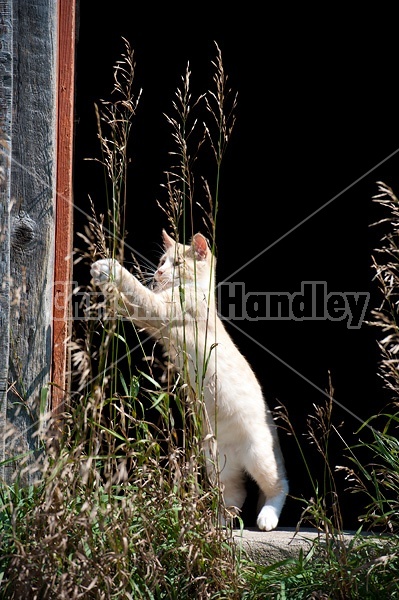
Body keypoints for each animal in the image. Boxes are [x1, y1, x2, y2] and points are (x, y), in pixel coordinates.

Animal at [92, 230, 290, 528]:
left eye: (176, 263)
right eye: (161, 261)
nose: (159, 272)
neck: (196, 291)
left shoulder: (159, 310)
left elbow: (137, 290)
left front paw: (110, 268)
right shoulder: (152, 320)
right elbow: (127, 303)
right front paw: (104, 284)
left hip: (260, 456)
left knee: (278, 485)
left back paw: (267, 518)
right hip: (217, 463)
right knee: (236, 494)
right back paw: (219, 525)